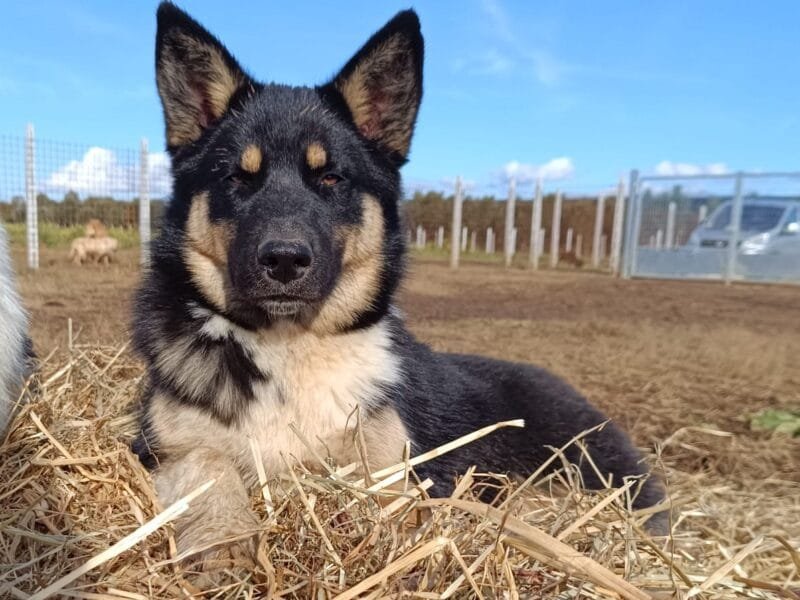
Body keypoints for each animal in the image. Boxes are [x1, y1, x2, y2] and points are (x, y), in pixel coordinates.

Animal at [136, 1, 668, 572]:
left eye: (331, 178)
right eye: (237, 177)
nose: (283, 259)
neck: (291, 346)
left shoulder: (394, 463)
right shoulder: (164, 447)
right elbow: (207, 463)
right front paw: (224, 535)